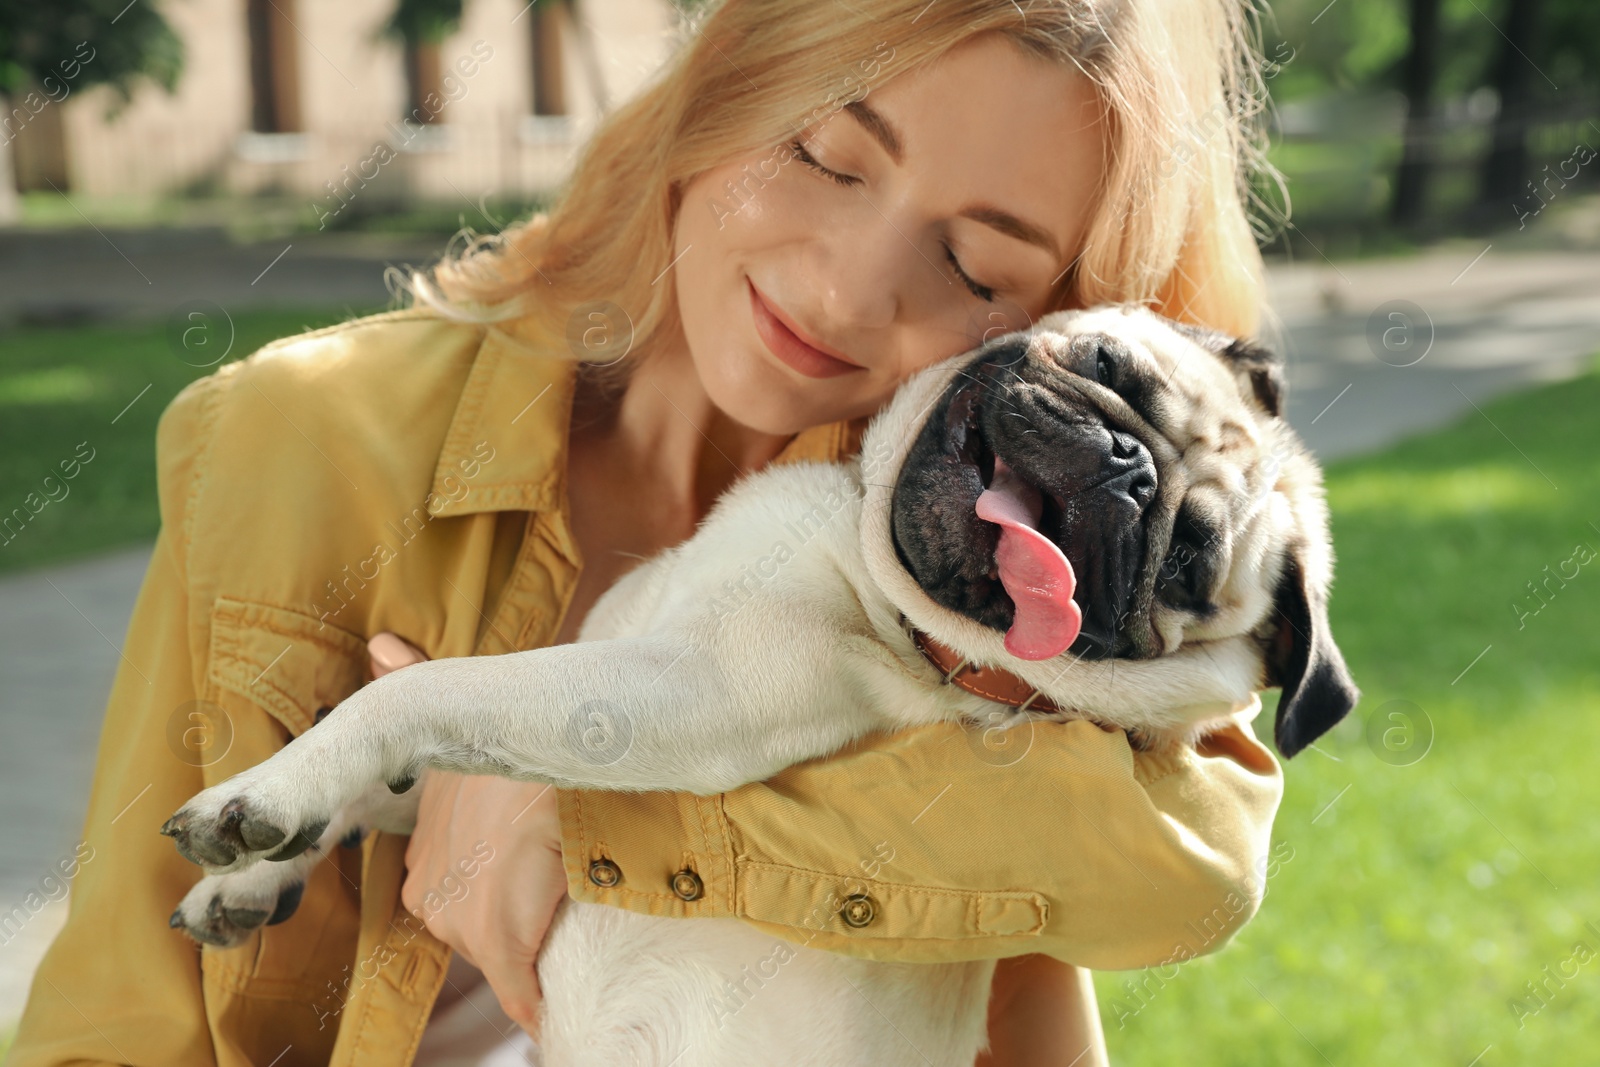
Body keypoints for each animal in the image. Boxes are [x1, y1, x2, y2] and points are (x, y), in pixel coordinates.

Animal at [165, 303, 1363, 1062]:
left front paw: (263, 796)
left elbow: (420, 697)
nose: (1128, 467)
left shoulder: (672, 694)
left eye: (1190, 563)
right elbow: (413, 770)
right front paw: (258, 869)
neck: (886, 590)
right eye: (1111, 370)